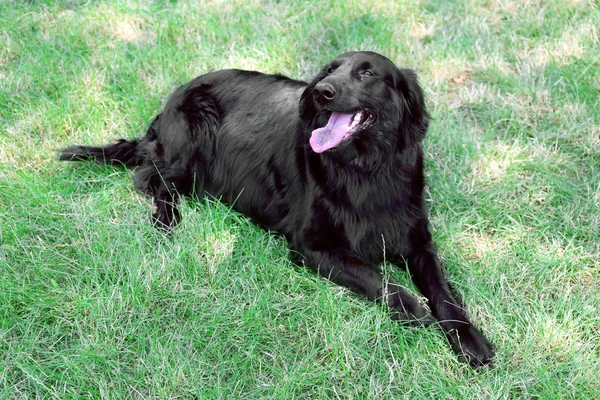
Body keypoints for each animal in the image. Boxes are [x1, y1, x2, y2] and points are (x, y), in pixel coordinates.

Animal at [59, 51, 492, 368]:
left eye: (367, 72)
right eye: (329, 71)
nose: (322, 92)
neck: (365, 168)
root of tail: (166, 106)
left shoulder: (418, 240)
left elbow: (443, 292)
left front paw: (470, 339)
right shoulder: (311, 245)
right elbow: (377, 277)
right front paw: (412, 308)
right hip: (191, 137)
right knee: (151, 178)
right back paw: (167, 220)